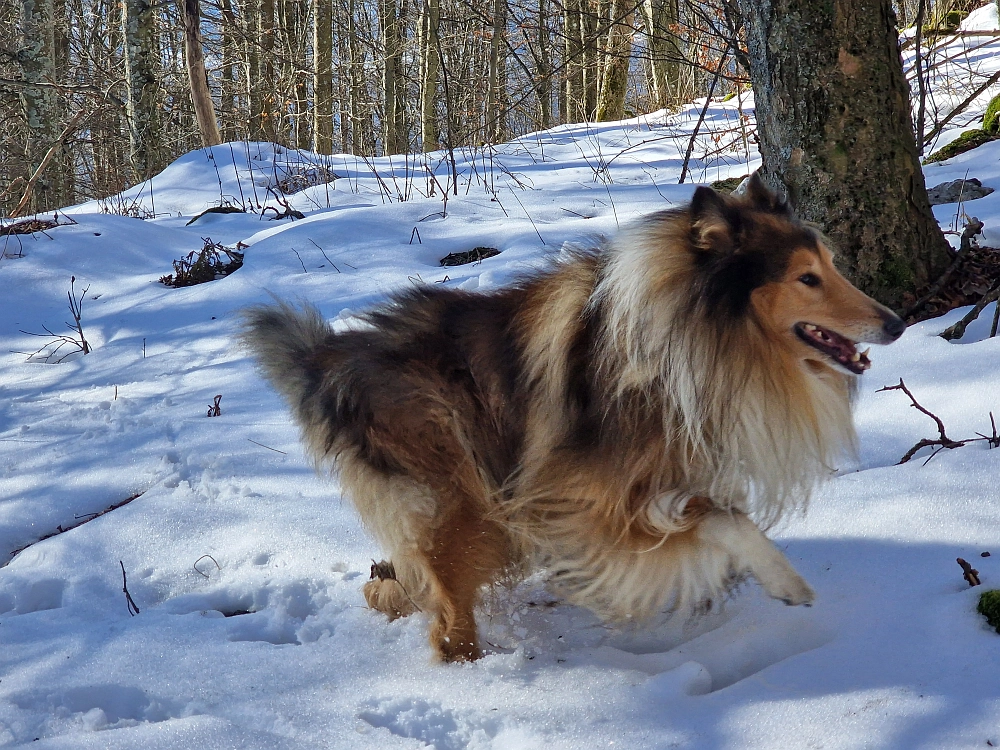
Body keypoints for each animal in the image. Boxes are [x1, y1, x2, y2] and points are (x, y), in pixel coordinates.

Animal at [244, 176, 908, 664]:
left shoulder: (662, 475)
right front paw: (785, 584)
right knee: (448, 619)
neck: (694, 336)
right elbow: (720, 520)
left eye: (830, 264)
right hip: (461, 499)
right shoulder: (581, 502)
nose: (898, 323)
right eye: (806, 277)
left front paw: (769, 580)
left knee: (403, 580)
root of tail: (331, 354)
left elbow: (719, 515)